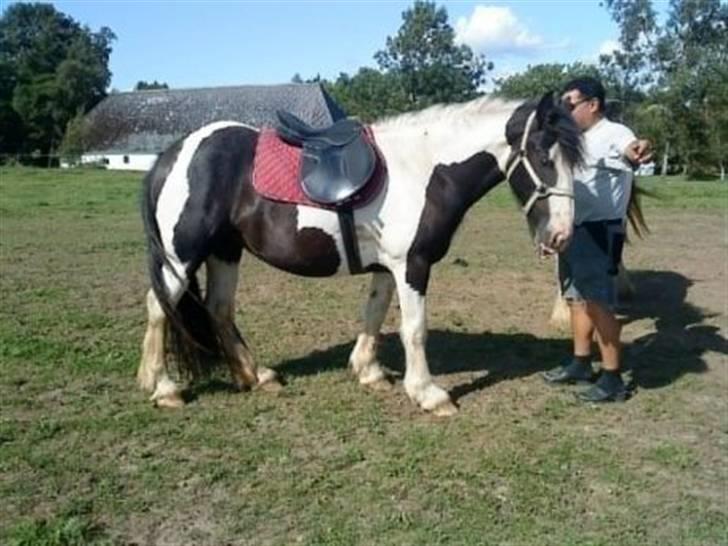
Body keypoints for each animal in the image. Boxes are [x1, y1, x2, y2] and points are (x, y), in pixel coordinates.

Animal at [136, 94, 580, 416]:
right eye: (544, 158)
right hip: (182, 256)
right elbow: (414, 329)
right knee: (159, 307)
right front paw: (428, 394)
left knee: (219, 309)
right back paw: (163, 388)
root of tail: (172, 154)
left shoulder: (388, 266)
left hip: (225, 251)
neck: (423, 169)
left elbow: (375, 312)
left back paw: (255, 375)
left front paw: (369, 372)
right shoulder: (412, 265)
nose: (561, 236)